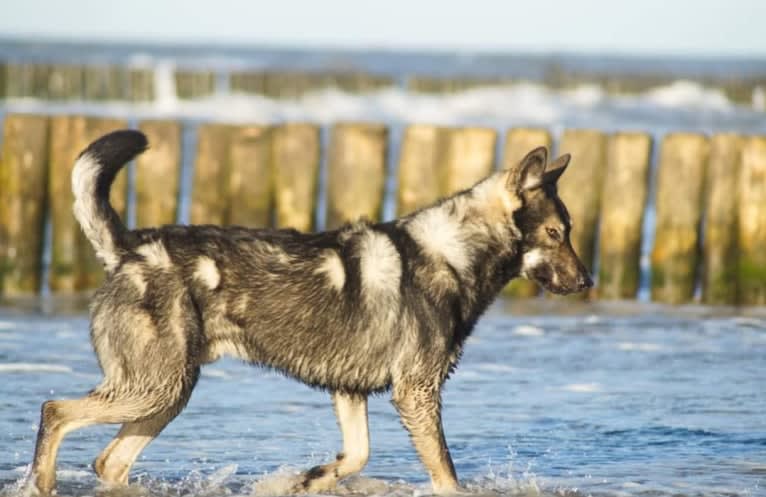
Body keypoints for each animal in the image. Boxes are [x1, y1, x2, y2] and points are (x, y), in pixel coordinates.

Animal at [30, 130, 592, 494]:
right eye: (555, 234)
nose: (588, 282)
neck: (451, 252)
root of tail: (131, 249)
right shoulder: (417, 393)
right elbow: (447, 477)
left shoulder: (352, 390)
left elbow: (358, 454)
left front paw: (313, 477)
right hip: (156, 387)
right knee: (55, 411)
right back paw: (41, 482)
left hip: (166, 393)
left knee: (109, 462)